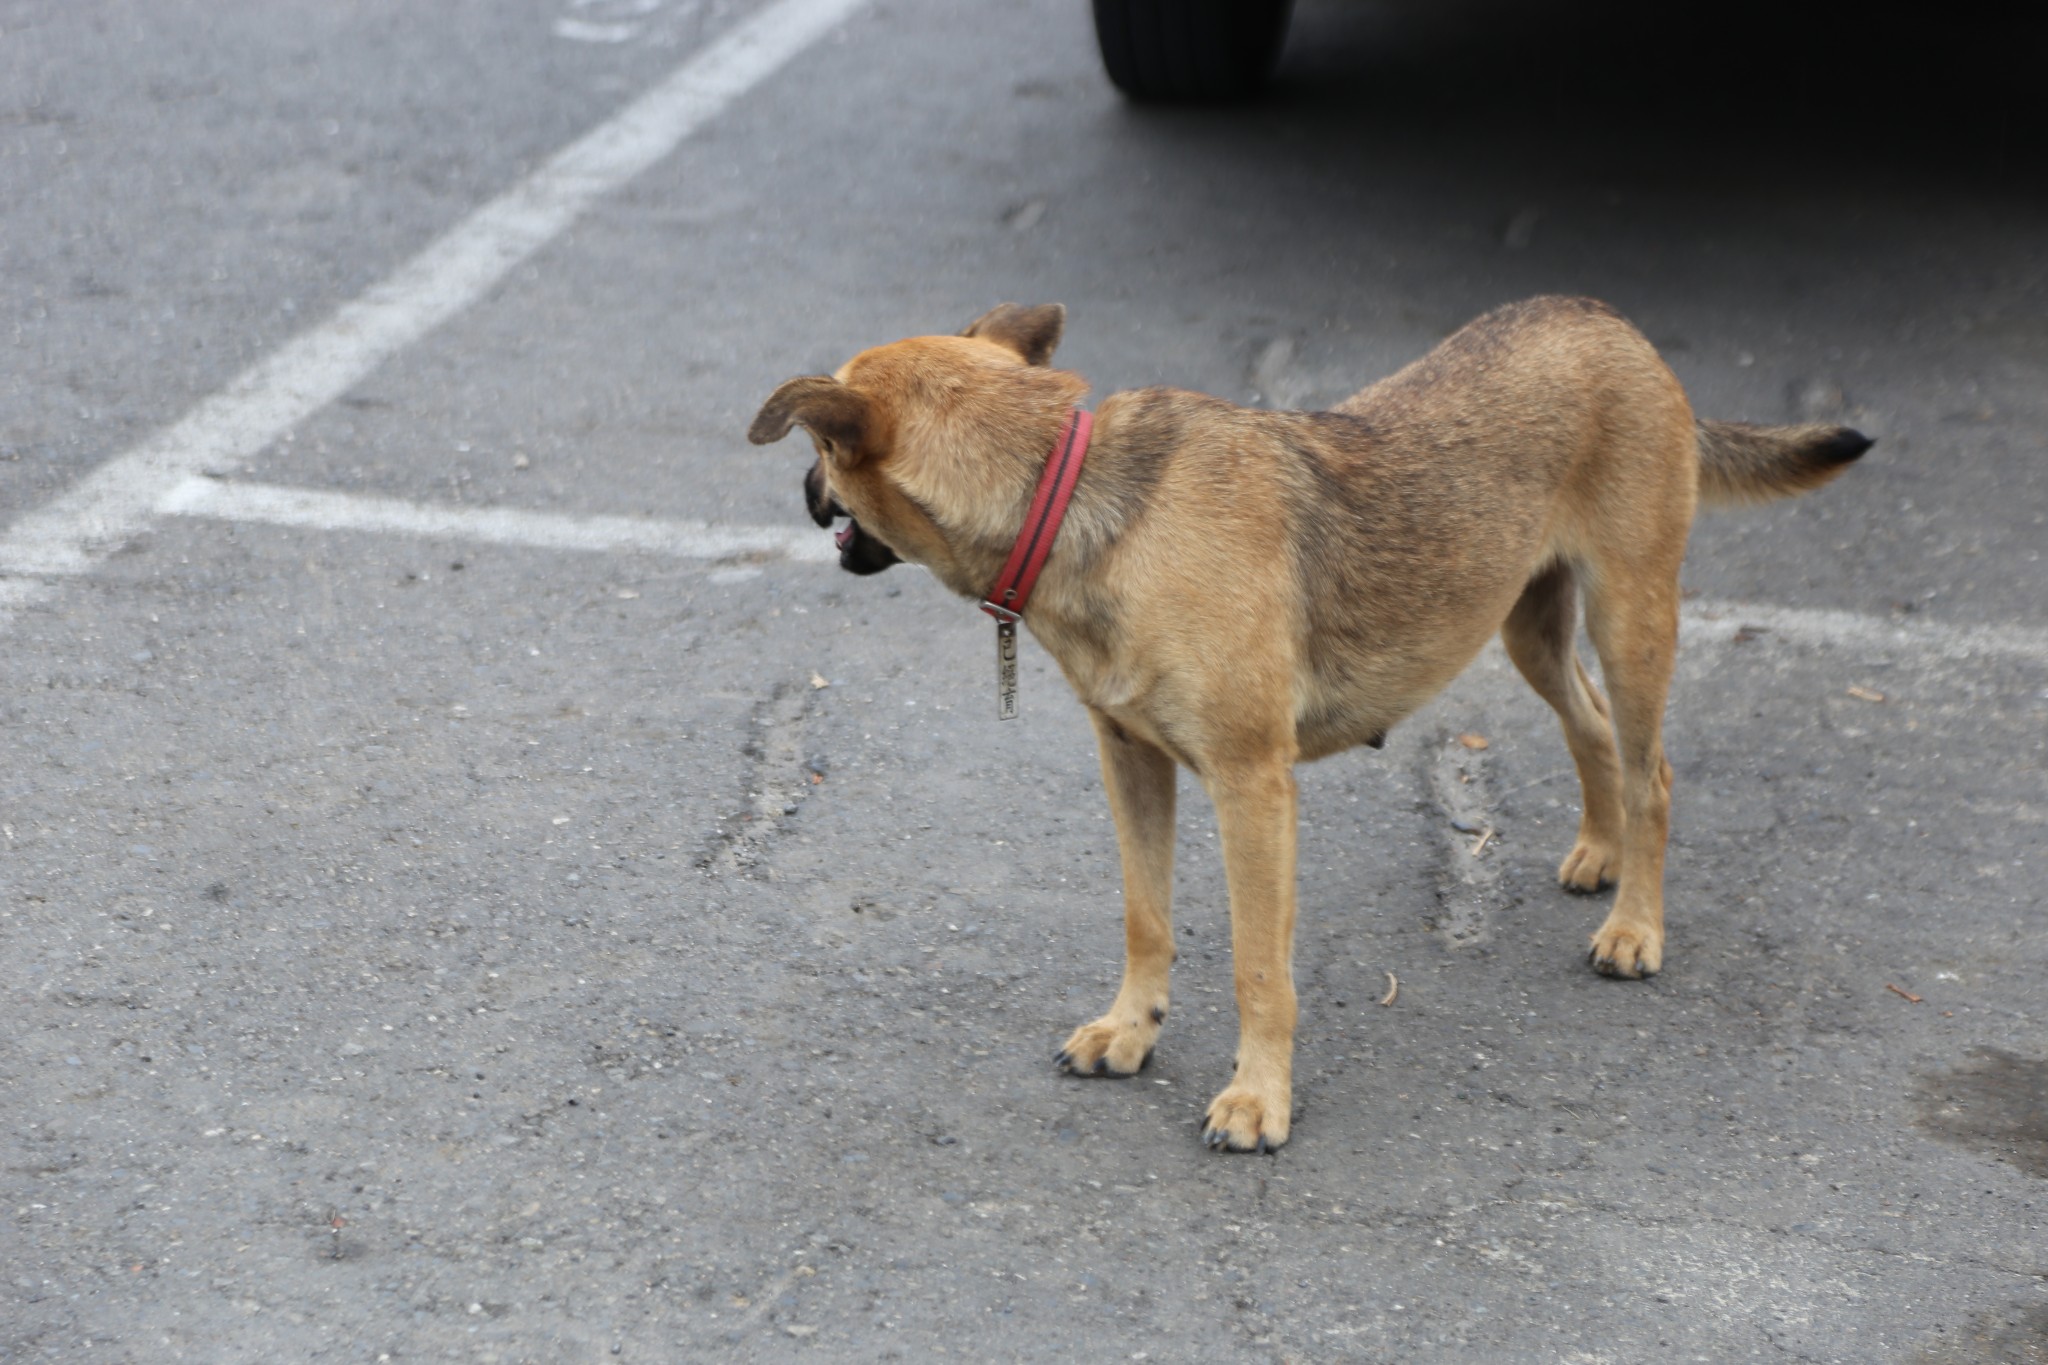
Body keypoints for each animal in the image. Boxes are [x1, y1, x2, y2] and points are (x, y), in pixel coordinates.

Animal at [749, 298, 1875, 1154]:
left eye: (821, 452)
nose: (803, 494)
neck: (1071, 498)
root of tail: (1608, 320)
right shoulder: (1132, 762)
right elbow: (1146, 917)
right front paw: (1131, 1029)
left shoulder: (1251, 789)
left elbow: (1259, 967)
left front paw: (1258, 1099)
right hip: (1526, 624)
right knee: (1591, 730)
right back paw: (1599, 852)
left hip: (1629, 618)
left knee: (1654, 774)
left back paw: (1636, 925)